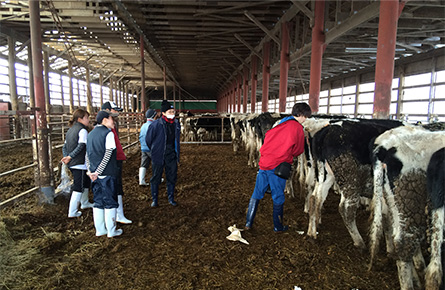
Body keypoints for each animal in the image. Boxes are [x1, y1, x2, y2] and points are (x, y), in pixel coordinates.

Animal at [306, 118, 406, 249]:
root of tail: (328, 129)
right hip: (350, 180)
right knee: (345, 209)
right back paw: (359, 242)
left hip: (326, 175)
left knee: (315, 198)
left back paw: (312, 233)